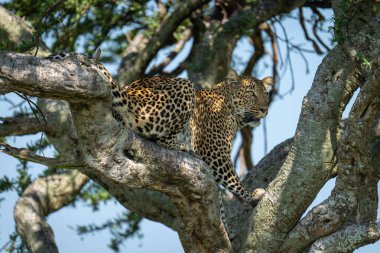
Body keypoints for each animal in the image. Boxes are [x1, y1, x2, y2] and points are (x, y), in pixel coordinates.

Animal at [47, 52, 272, 207]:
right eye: (251, 93)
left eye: (266, 94)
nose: (265, 109)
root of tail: (130, 94)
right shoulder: (214, 152)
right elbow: (233, 179)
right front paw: (251, 196)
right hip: (184, 86)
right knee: (159, 137)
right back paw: (184, 146)